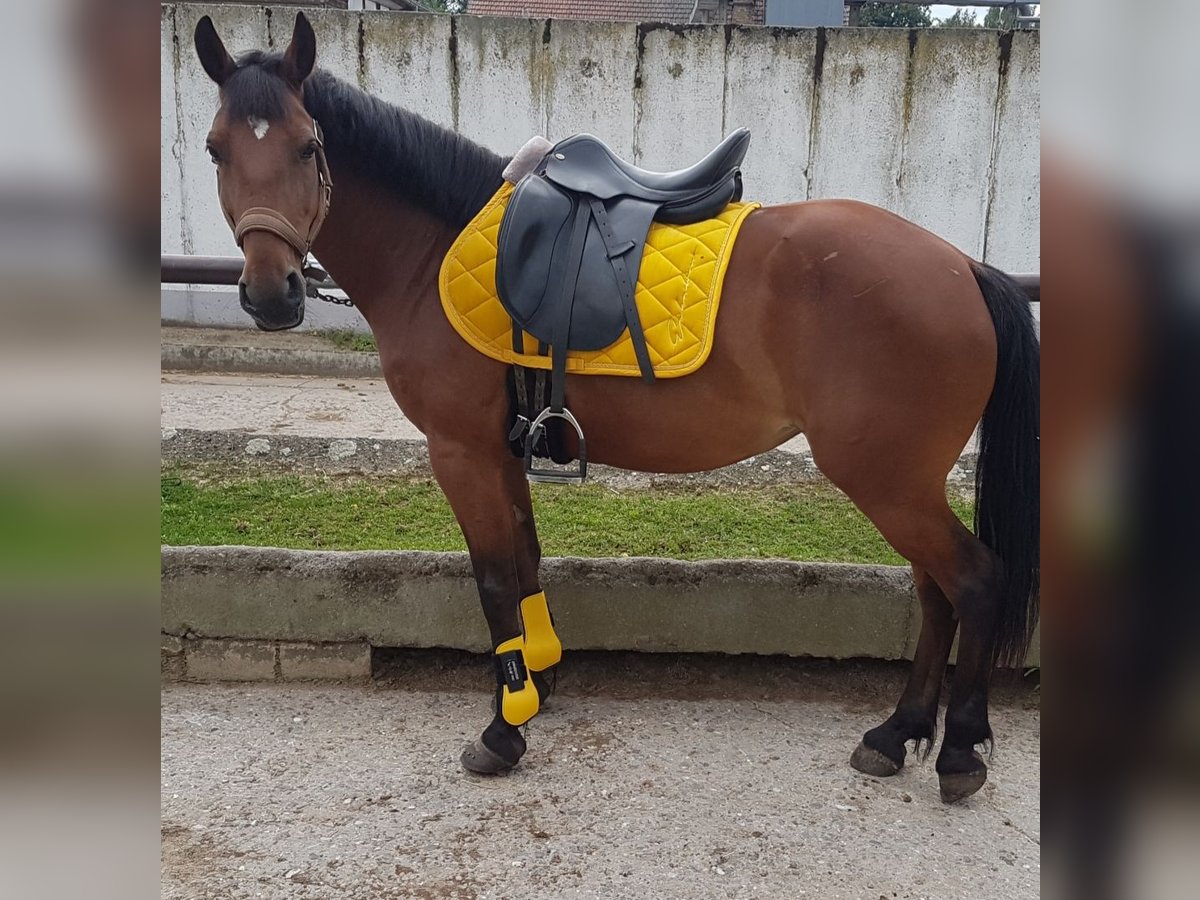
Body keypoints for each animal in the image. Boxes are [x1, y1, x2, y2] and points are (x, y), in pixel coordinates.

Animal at [192, 12, 1036, 801]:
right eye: (215, 149)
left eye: (308, 147)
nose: (271, 295)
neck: (432, 248)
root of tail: (962, 266)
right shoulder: (503, 450)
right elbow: (524, 561)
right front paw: (536, 681)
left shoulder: (459, 451)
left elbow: (493, 580)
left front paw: (503, 731)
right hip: (902, 482)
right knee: (934, 591)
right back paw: (896, 734)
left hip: (886, 479)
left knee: (973, 581)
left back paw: (959, 748)